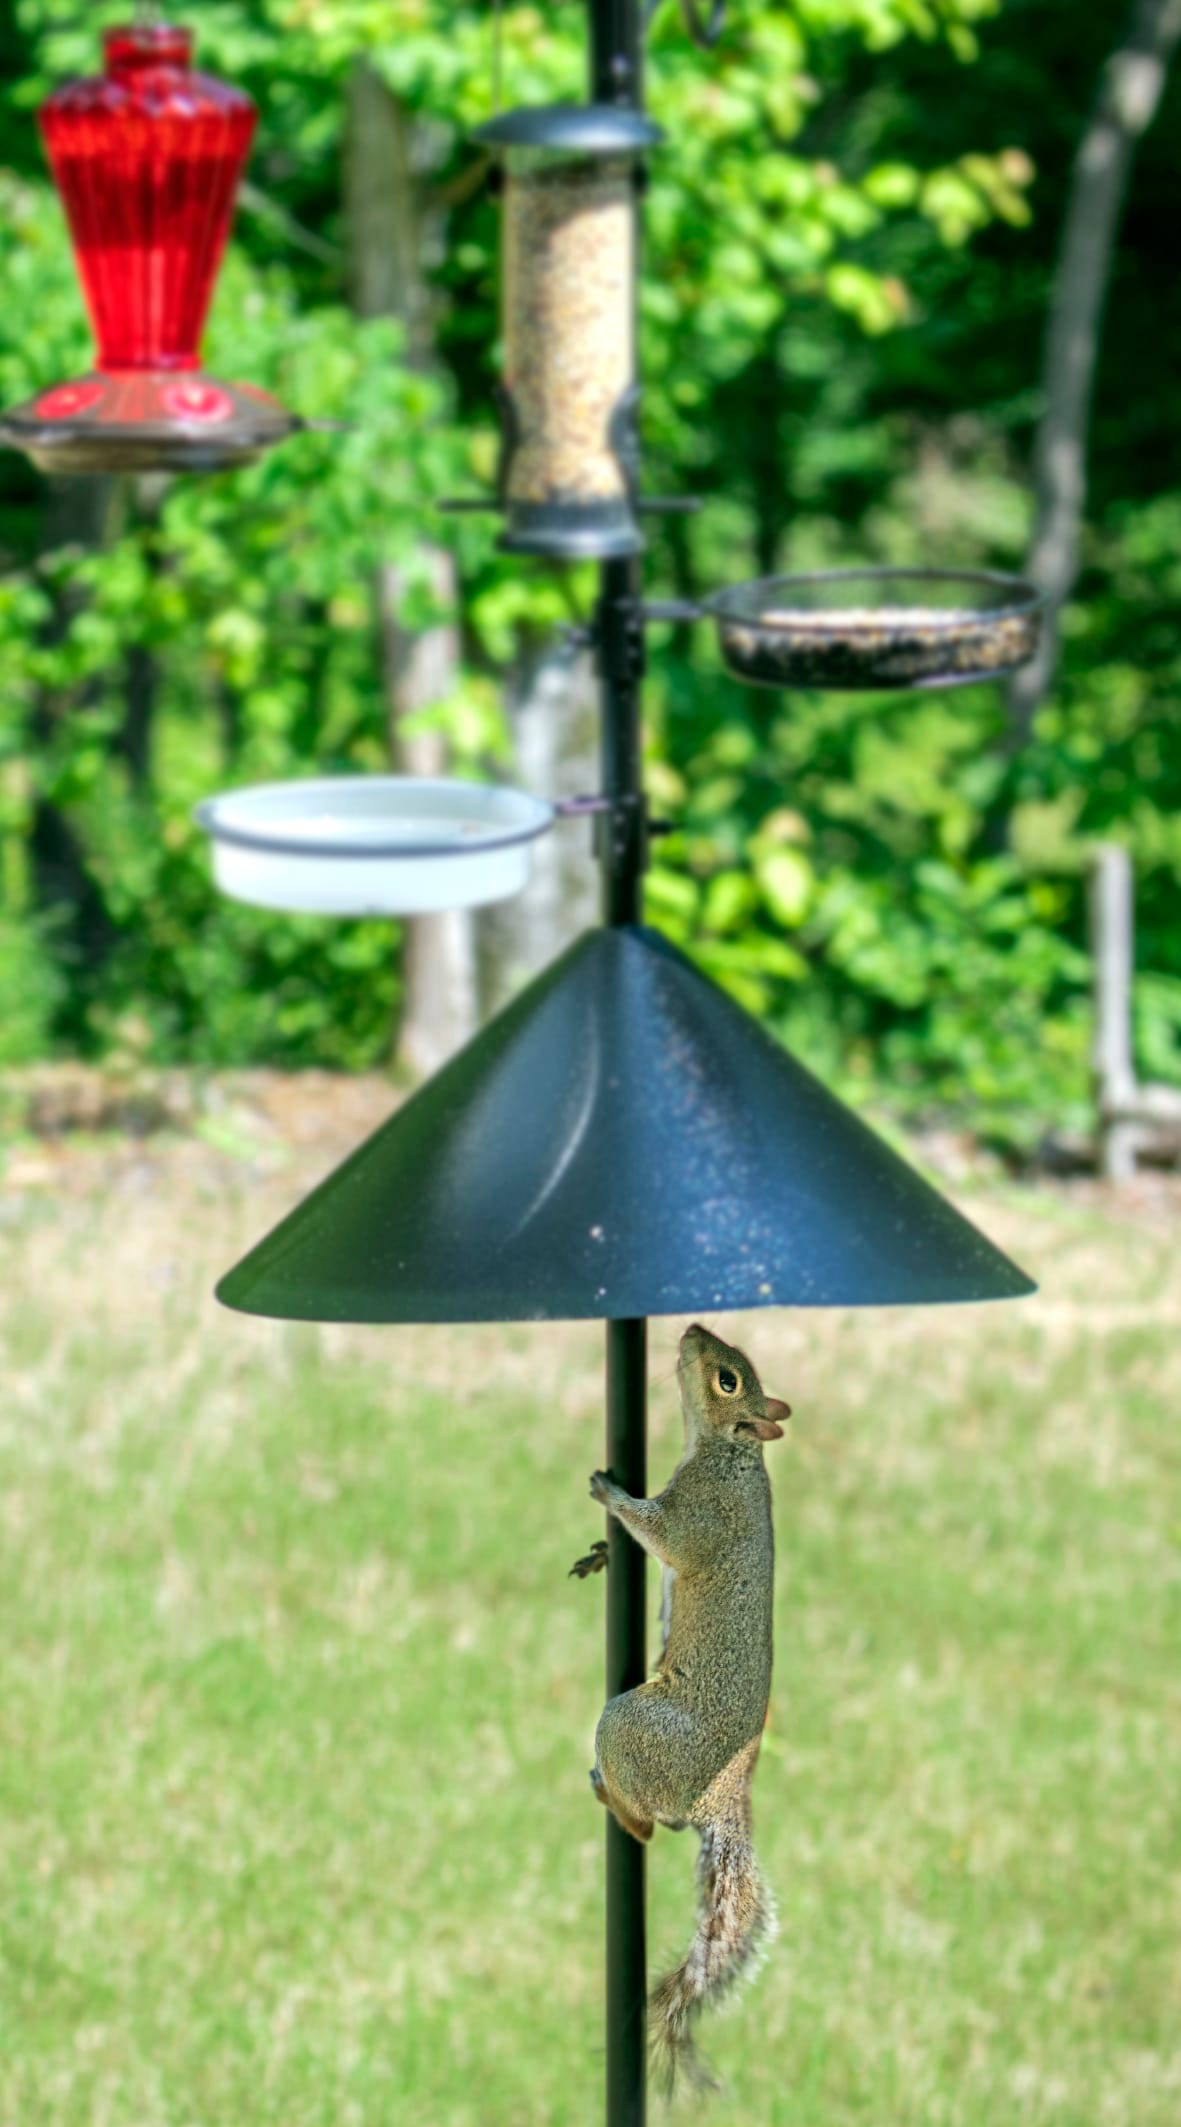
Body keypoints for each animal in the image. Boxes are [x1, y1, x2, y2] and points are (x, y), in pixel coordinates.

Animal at [574, 1321, 790, 2095]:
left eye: (727, 1379)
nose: (693, 1330)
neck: (731, 1453)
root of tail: (720, 1793)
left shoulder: (699, 1514)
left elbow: (662, 1534)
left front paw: (609, 1495)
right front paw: (602, 1549)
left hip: (633, 1728)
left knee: (650, 1826)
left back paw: (611, 1797)